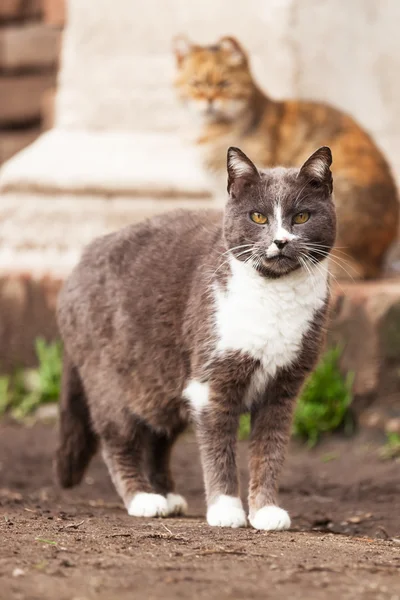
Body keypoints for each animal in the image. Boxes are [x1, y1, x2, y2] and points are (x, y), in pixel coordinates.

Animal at [56, 145, 336, 528]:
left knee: (158, 436)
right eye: (258, 217)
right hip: (108, 377)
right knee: (118, 438)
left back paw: (168, 496)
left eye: (303, 217)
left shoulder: (283, 390)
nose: (280, 241)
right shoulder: (211, 381)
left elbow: (270, 449)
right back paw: (143, 498)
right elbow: (218, 447)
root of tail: (76, 267)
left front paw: (265, 510)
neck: (275, 296)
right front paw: (226, 509)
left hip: (163, 380)